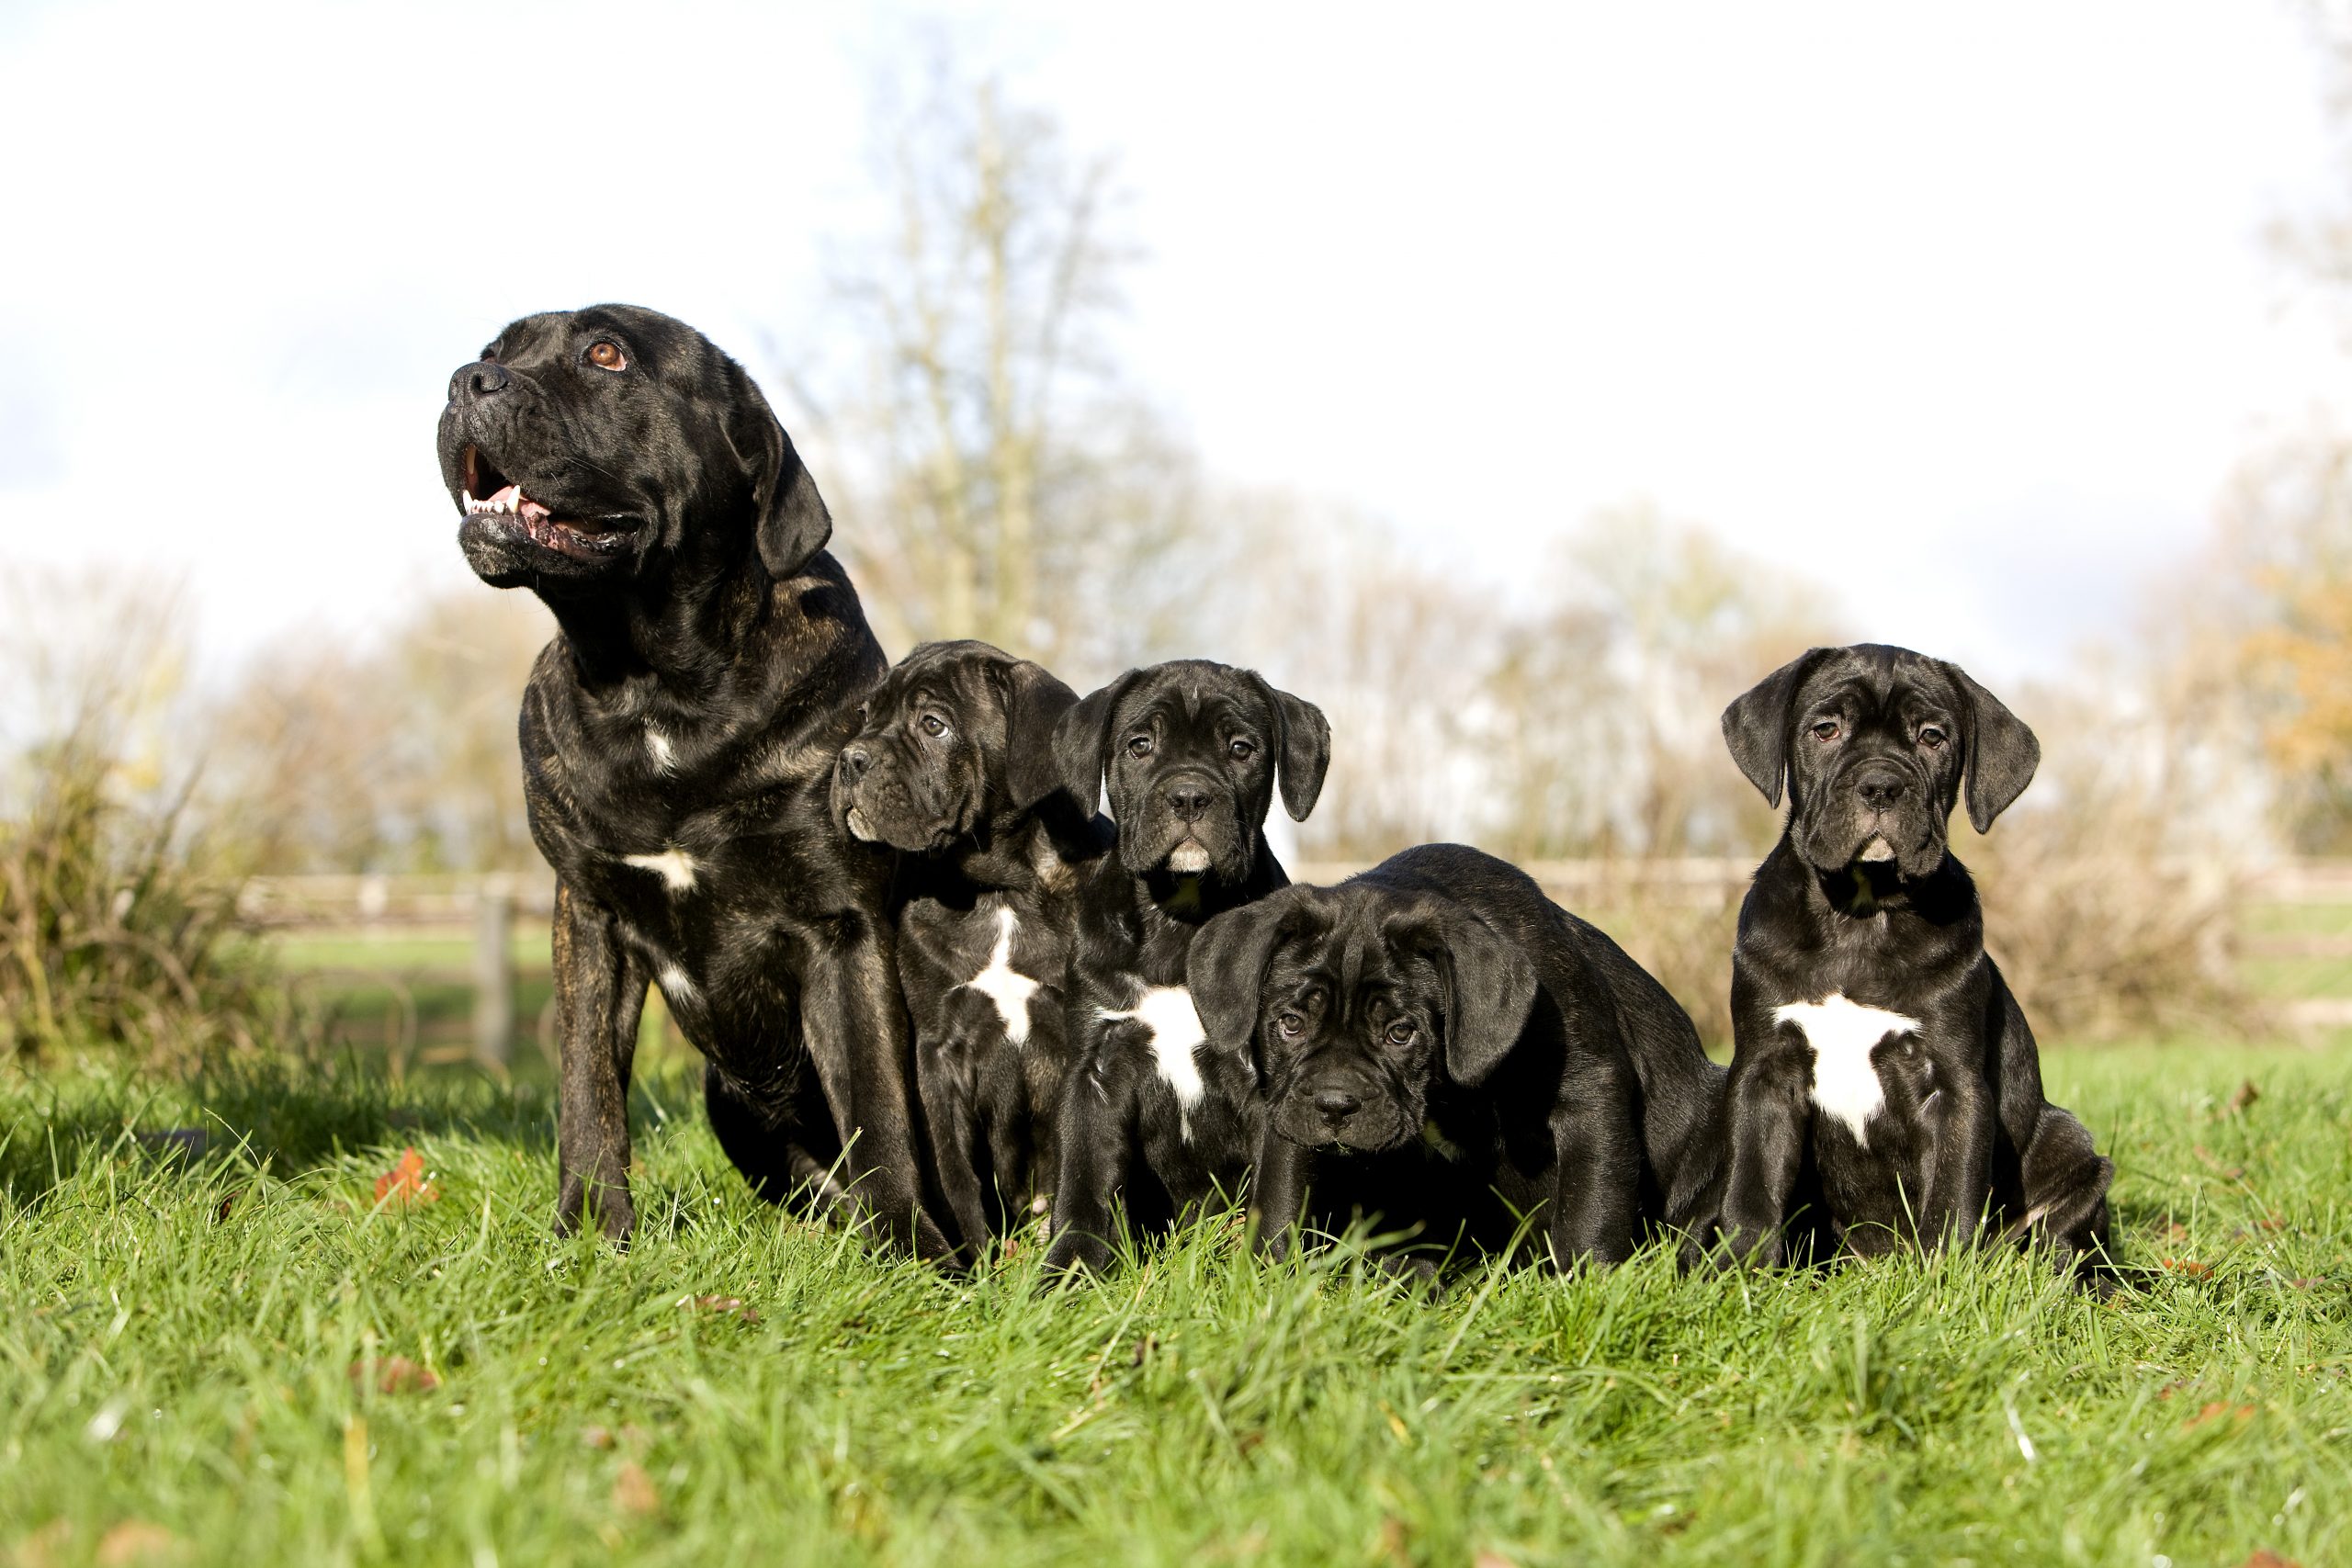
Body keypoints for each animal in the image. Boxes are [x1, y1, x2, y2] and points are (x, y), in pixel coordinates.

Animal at [437, 305, 950, 1259]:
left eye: (605, 355)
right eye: (495, 352)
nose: (465, 381)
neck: (655, 687)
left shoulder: (845, 926)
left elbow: (878, 1104)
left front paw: (908, 1249)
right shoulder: (589, 916)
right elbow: (589, 1092)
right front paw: (589, 1233)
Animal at [1194, 846, 1731, 1279]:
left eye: (1401, 1033)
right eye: (1291, 1023)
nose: (1335, 1103)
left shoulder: (1590, 1095)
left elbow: (1591, 1206)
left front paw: (1586, 1289)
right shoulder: (1290, 1109)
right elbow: (1282, 1193)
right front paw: (1269, 1280)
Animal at [1712, 644, 2117, 1279]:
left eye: (1932, 737)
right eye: (1825, 730)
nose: (1881, 785)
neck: (1861, 914)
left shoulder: (1953, 1086)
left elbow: (1951, 1196)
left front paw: (1942, 1283)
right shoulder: (1763, 1073)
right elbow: (1751, 1189)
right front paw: (1737, 1273)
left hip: (2068, 1142)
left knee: (2063, 1240)